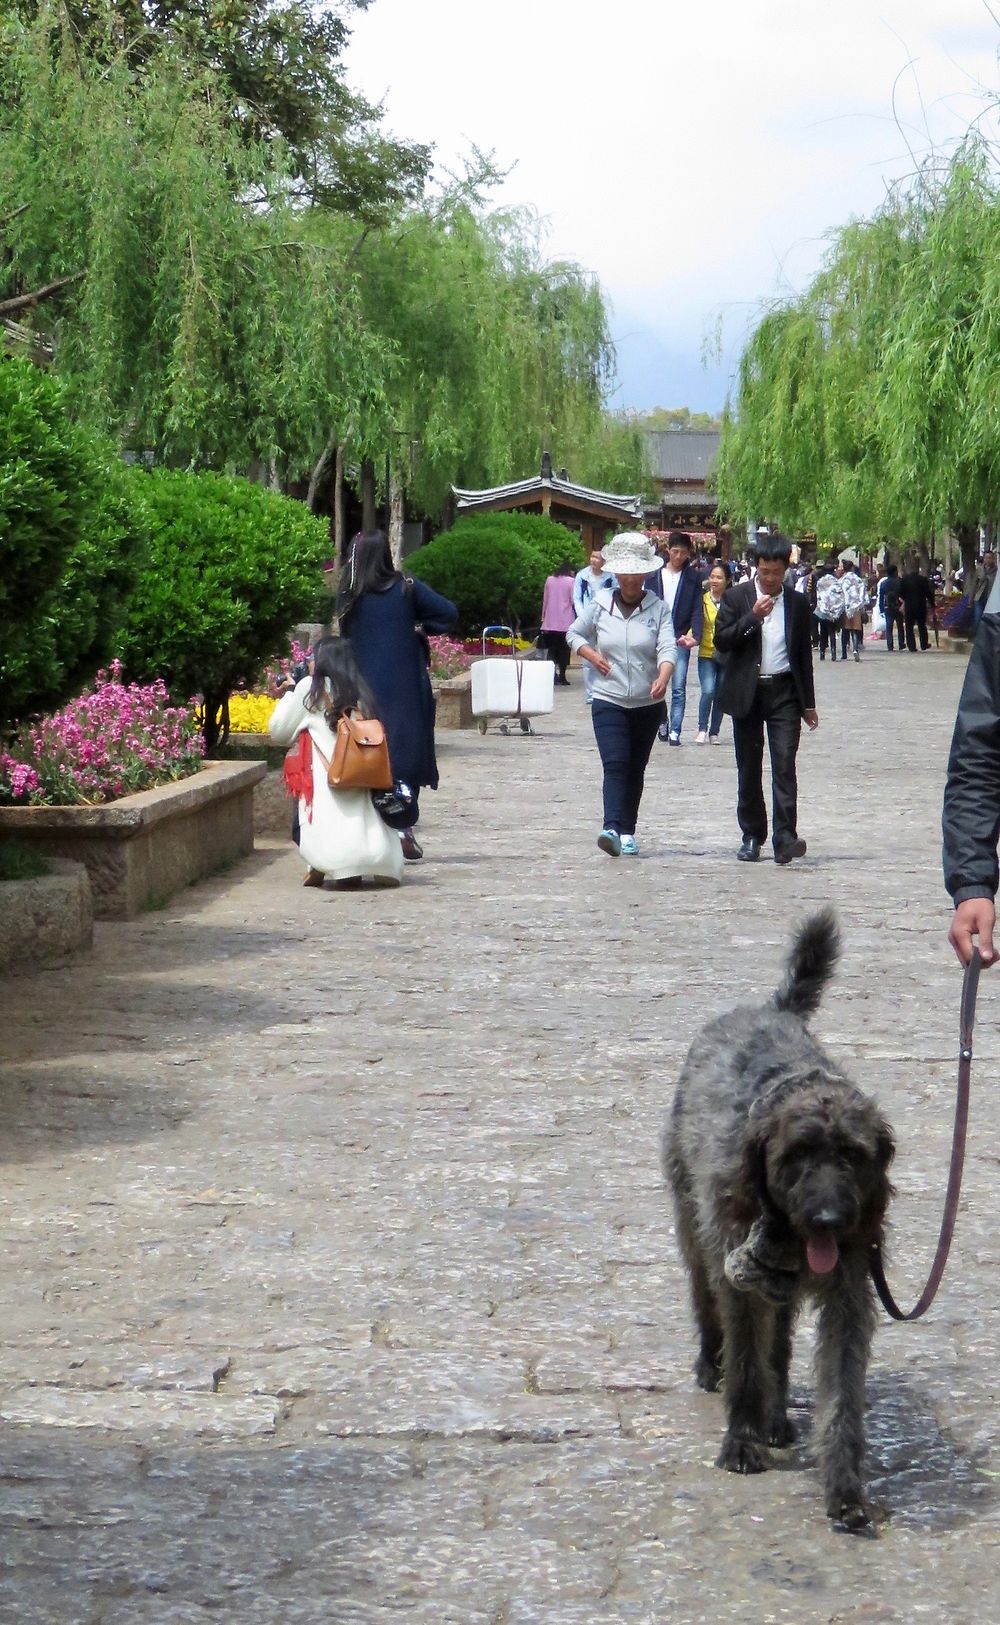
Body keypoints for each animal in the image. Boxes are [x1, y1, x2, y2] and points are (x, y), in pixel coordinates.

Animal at [669, 916, 897, 1534]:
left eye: (852, 1155)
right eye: (797, 1155)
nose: (830, 1219)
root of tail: (770, 1009)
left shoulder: (847, 1297)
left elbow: (841, 1392)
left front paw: (845, 1487)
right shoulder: (741, 1276)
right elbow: (747, 1361)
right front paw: (741, 1441)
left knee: (780, 1344)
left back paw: (776, 1417)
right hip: (696, 1233)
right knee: (707, 1302)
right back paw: (712, 1365)